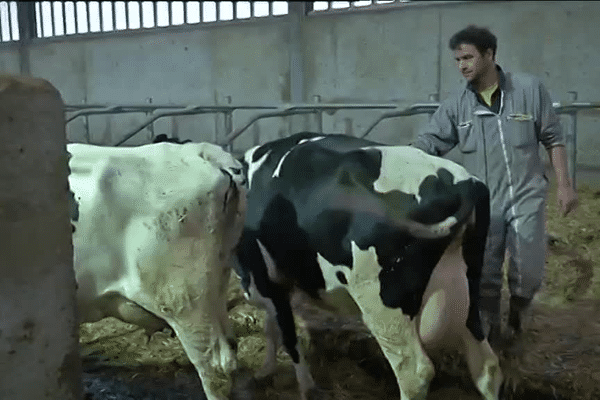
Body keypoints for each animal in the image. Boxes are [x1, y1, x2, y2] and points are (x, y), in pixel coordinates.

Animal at [232, 133, 504, 398]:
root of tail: (465, 185)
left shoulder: (265, 279)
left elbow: (287, 335)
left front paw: (304, 386)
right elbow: (272, 327)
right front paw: (266, 370)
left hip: (383, 302)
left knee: (414, 372)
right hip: (466, 286)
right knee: (486, 366)